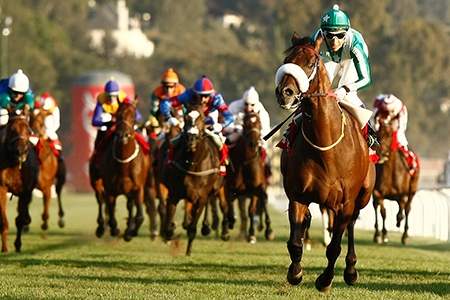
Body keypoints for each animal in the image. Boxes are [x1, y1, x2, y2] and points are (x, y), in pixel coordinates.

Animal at [0, 106, 39, 252]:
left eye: (27, 128)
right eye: (11, 129)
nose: (21, 152)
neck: (15, 164)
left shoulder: (26, 191)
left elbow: (20, 220)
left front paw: (18, 245)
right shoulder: (2, 188)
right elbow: (3, 220)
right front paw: (5, 247)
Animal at [89, 98, 150, 241]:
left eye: (133, 115)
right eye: (118, 115)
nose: (123, 135)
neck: (124, 164)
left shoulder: (138, 187)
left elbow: (139, 216)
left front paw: (130, 232)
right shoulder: (110, 189)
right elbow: (111, 214)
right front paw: (115, 229)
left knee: (129, 204)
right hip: (96, 180)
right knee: (100, 199)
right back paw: (101, 228)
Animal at [162, 102, 230, 254]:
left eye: (203, 119)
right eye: (185, 117)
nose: (191, 139)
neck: (192, 164)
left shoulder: (201, 196)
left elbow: (193, 228)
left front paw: (188, 251)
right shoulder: (174, 194)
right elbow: (168, 228)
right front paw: (172, 236)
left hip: (220, 186)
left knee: (222, 204)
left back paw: (222, 231)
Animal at [225, 111, 274, 243]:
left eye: (259, 123)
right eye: (245, 124)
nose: (254, 143)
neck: (246, 162)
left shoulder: (256, 188)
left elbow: (252, 210)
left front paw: (253, 234)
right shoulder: (231, 187)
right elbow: (230, 206)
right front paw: (230, 223)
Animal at [274, 32, 376, 290]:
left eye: (311, 63)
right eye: (287, 60)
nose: (285, 92)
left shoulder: (346, 203)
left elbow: (334, 247)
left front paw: (325, 279)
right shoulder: (297, 195)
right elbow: (295, 243)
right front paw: (295, 273)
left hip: (362, 197)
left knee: (351, 225)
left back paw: (351, 271)